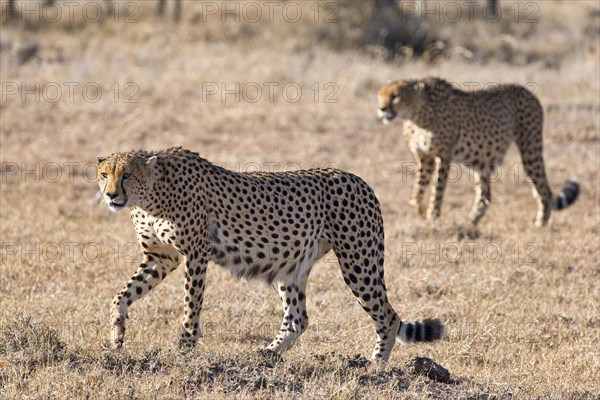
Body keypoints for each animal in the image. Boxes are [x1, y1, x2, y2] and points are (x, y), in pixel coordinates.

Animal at [94, 148, 440, 362]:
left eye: (126, 175)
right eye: (104, 174)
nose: (110, 195)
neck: (150, 195)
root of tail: (358, 179)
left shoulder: (195, 254)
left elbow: (191, 304)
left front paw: (186, 346)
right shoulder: (161, 257)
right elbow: (123, 294)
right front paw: (116, 332)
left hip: (359, 262)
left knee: (388, 316)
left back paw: (376, 364)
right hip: (291, 265)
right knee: (298, 319)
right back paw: (267, 353)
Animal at [378, 77, 580, 234]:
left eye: (395, 96)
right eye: (380, 95)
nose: (381, 108)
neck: (416, 115)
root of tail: (526, 90)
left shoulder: (443, 156)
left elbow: (437, 192)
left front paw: (432, 218)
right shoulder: (425, 157)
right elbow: (417, 191)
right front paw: (420, 211)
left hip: (530, 149)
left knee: (543, 189)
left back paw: (540, 222)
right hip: (481, 161)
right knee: (486, 195)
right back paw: (469, 223)